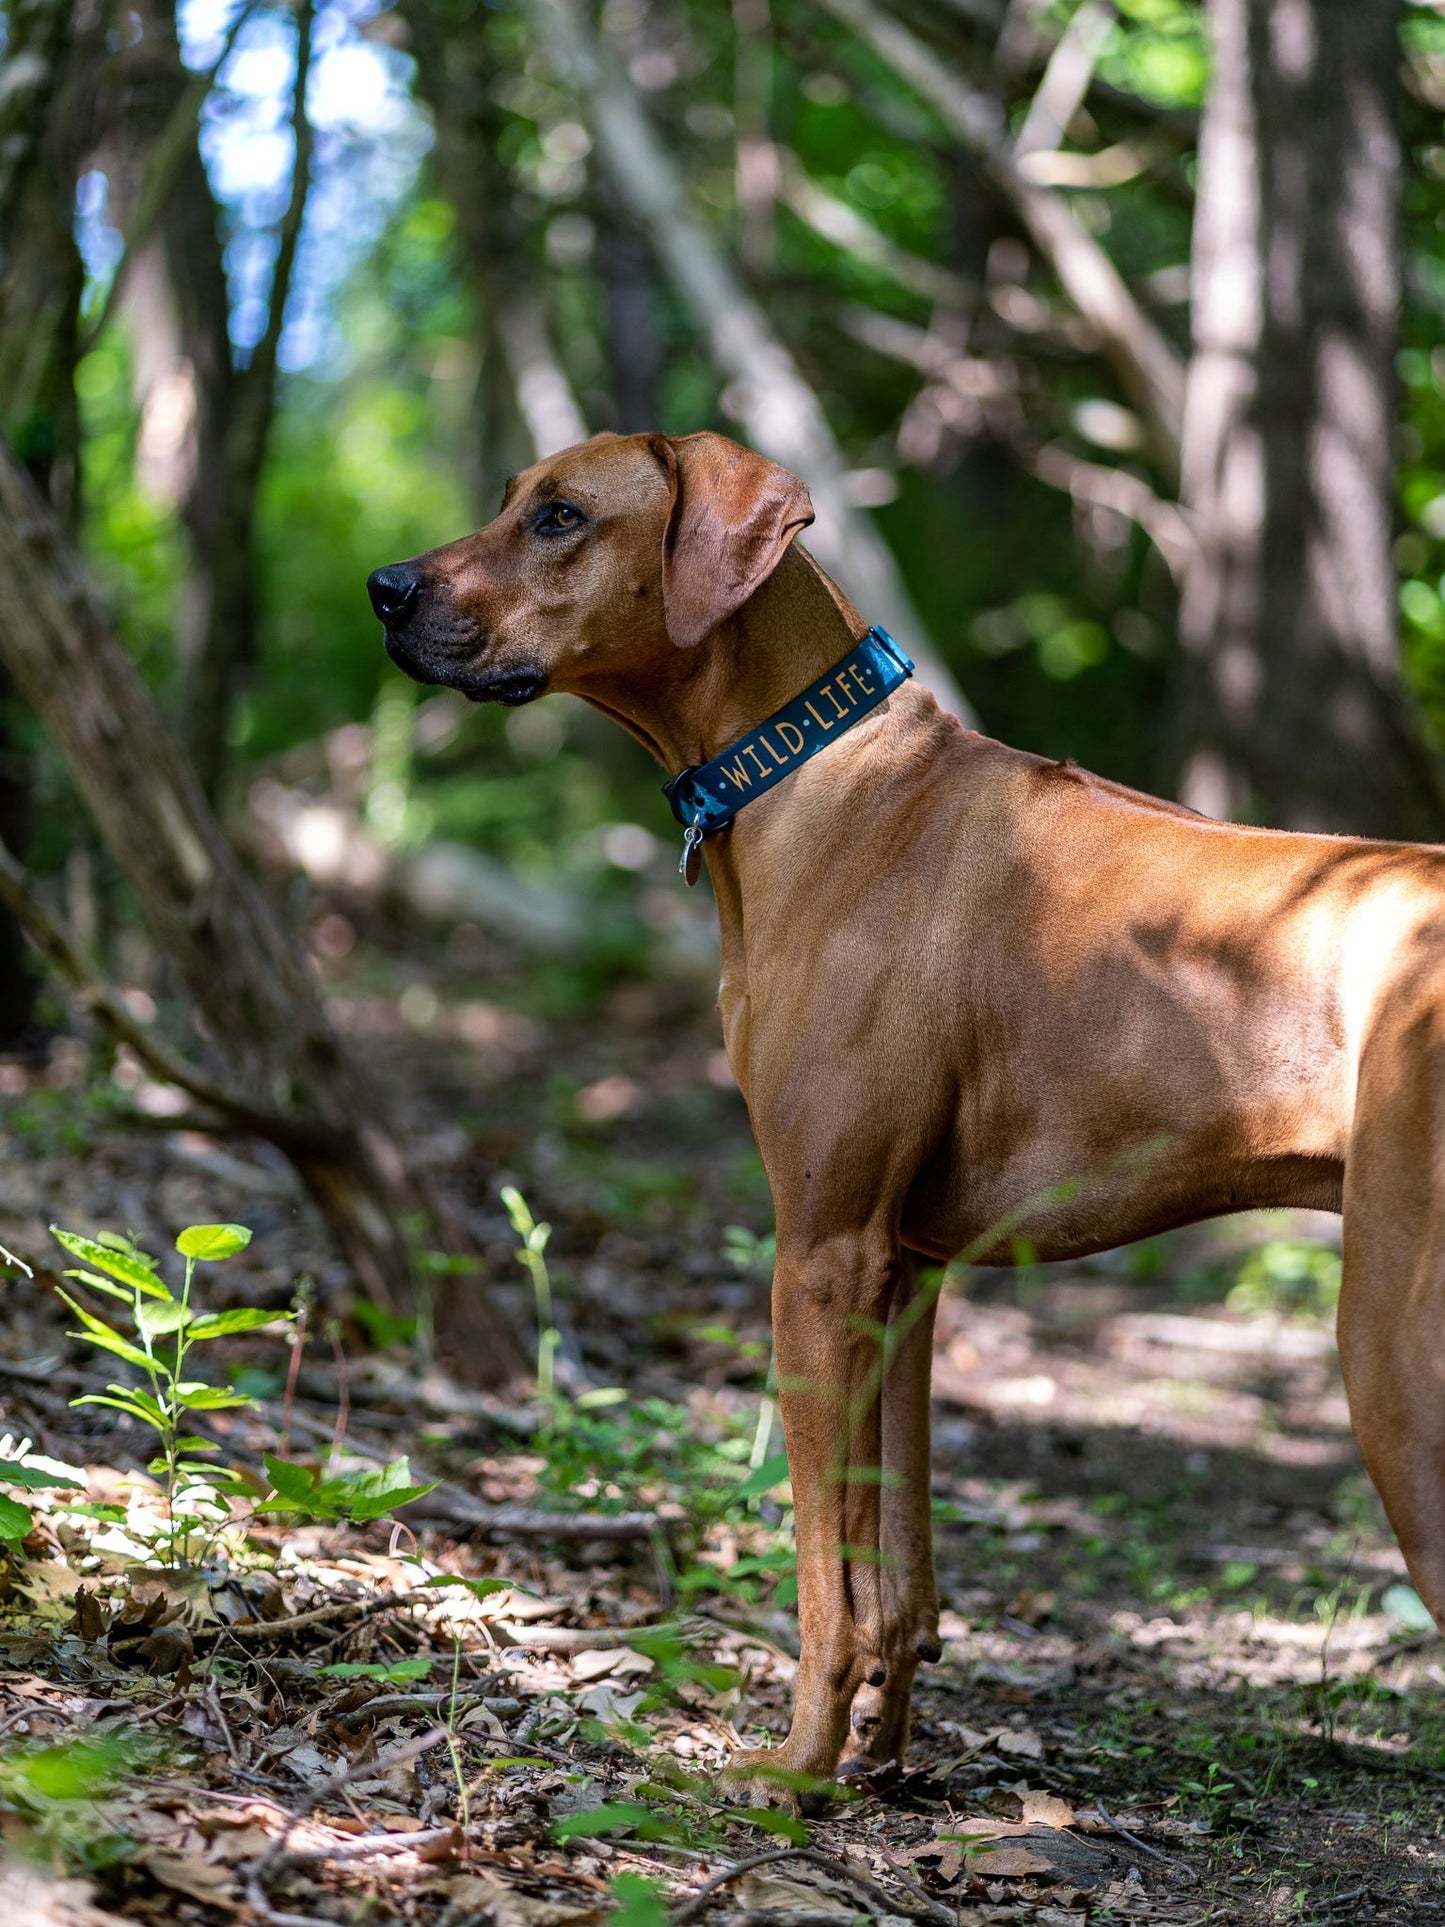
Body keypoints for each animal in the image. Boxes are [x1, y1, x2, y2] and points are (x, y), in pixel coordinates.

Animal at [369, 429, 1445, 1795]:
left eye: (559, 515)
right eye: (512, 495)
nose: (383, 588)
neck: (813, 776)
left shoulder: (818, 1257)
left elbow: (822, 1578)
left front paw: (793, 1766)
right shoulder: (905, 1271)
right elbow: (895, 1564)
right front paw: (878, 1749)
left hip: (1392, 1359)